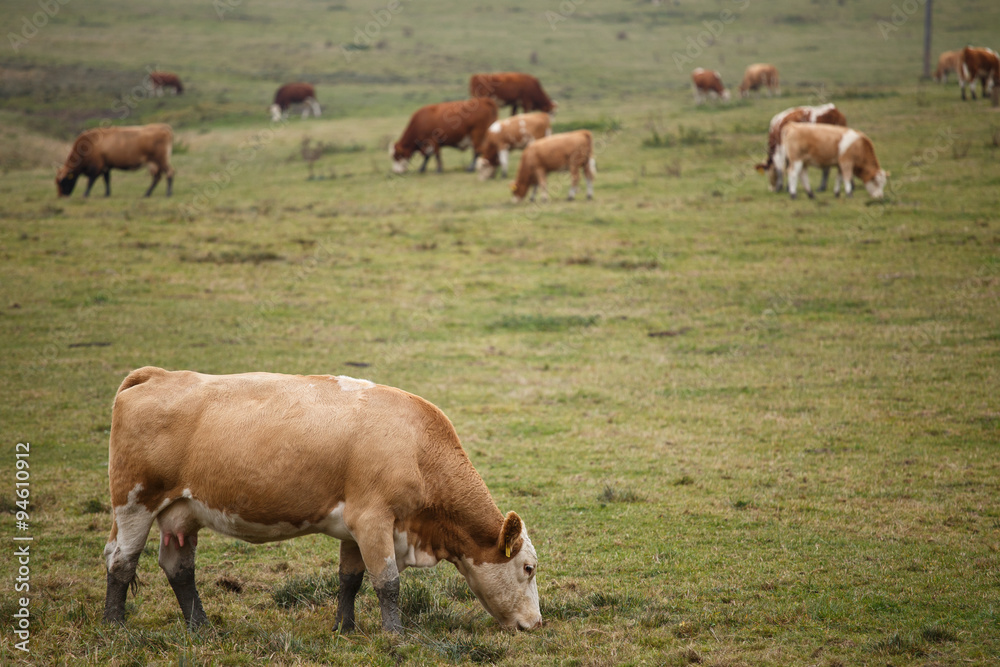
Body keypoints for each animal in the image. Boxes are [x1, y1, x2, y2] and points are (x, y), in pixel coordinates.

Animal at [102, 368, 544, 636]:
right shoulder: (374, 519)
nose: (536, 623)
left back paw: (202, 628)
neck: (418, 447)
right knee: (121, 562)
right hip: (135, 503)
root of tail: (158, 376)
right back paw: (115, 626)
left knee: (178, 569)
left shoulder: (354, 526)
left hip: (181, 513)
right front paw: (396, 635)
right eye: (528, 568)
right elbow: (387, 583)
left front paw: (344, 629)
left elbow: (350, 579)